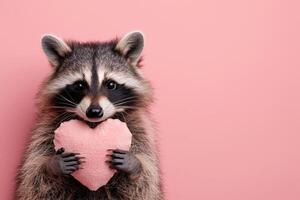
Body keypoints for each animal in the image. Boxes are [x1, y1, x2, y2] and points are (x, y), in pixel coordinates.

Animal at [15, 31, 163, 200]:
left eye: (111, 84)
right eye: (79, 85)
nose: (94, 112)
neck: (94, 124)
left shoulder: (139, 129)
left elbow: (144, 185)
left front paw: (134, 165)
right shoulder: (46, 128)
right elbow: (36, 182)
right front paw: (52, 165)